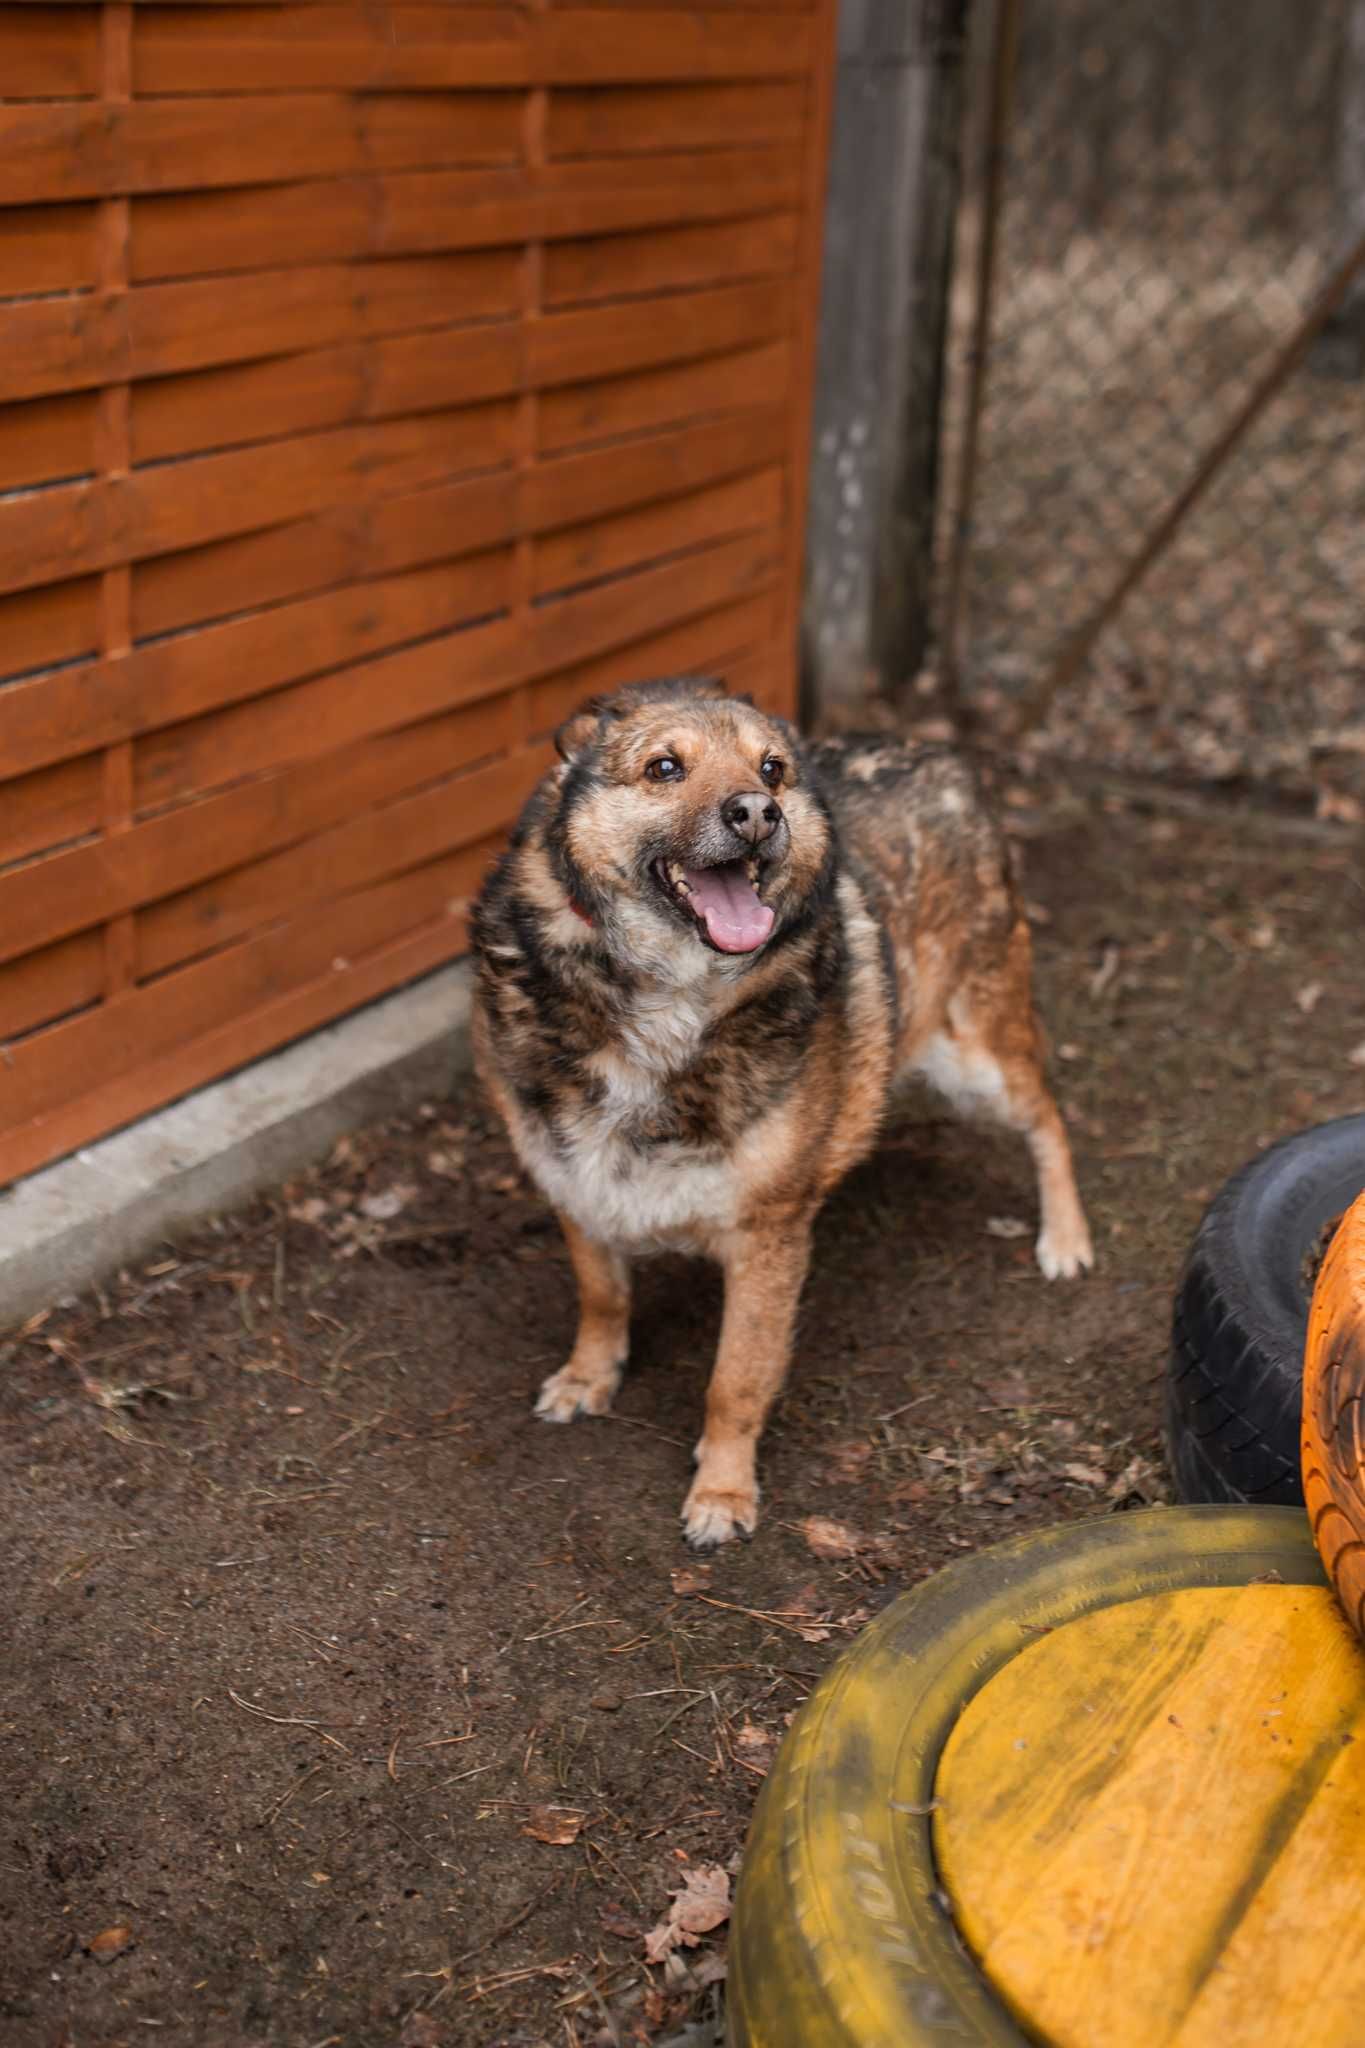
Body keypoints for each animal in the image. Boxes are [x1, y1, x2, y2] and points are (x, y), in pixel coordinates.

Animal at [470, 679, 1088, 1540]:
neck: (663, 998)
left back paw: (1065, 1238)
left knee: (1050, 1121)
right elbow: (602, 1297)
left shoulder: (766, 1237)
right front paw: (590, 1375)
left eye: (771, 769)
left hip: (978, 1059)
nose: (758, 813)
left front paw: (723, 1491)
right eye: (664, 768)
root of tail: (942, 755)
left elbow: (735, 1379)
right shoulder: (575, 1181)